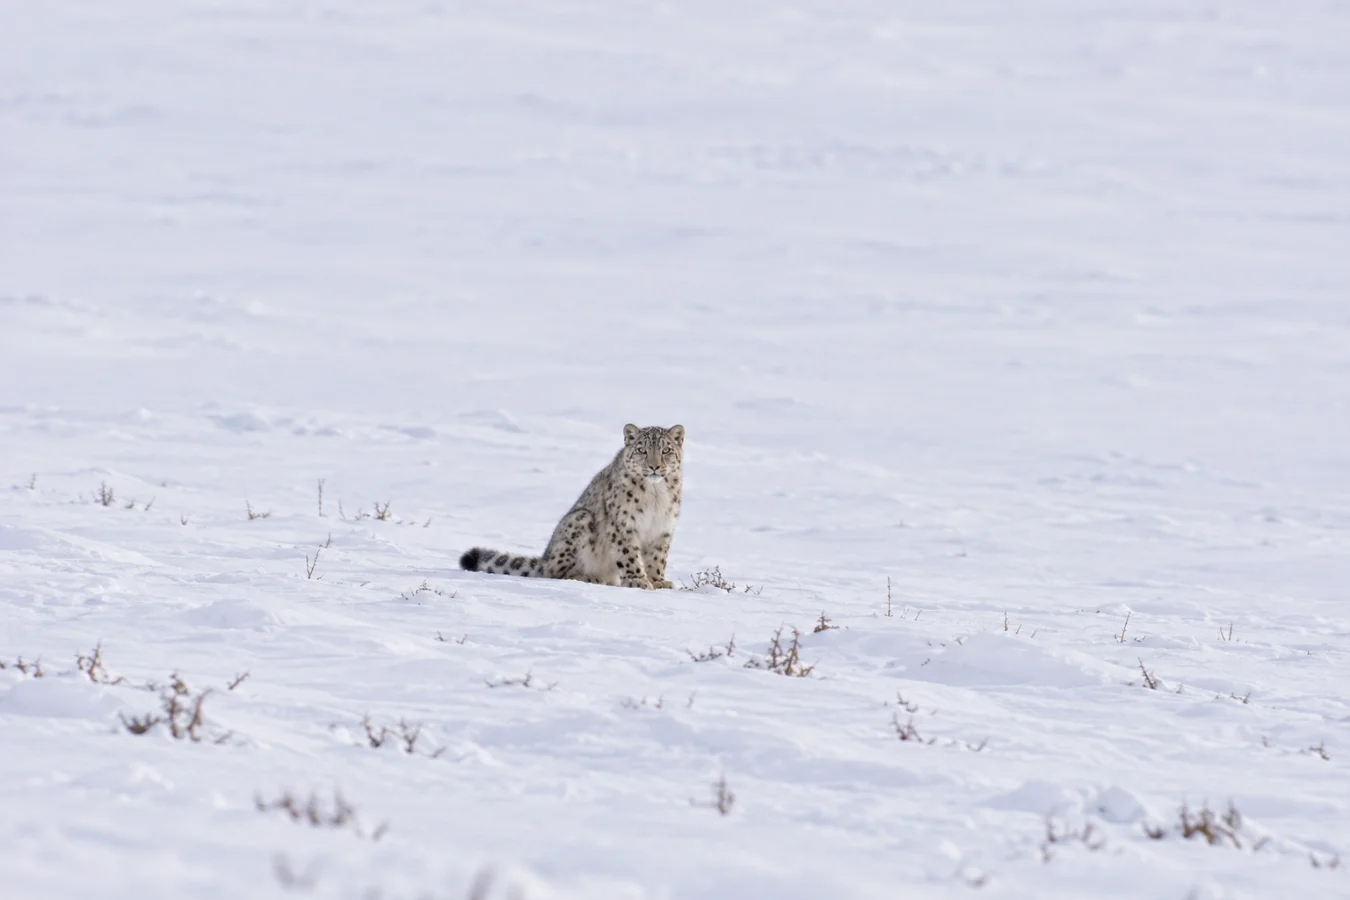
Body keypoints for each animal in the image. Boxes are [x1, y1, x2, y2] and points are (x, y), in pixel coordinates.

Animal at [459, 424, 684, 589]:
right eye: (642, 450)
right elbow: (629, 554)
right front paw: (638, 580)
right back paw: (590, 577)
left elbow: (657, 557)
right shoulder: (623, 524)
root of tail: (545, 559)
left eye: (666, 450)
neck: (655, 497)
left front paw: (658, 581)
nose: (654, 466)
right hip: (579, 520)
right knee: (555, 573)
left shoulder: (663, 528)